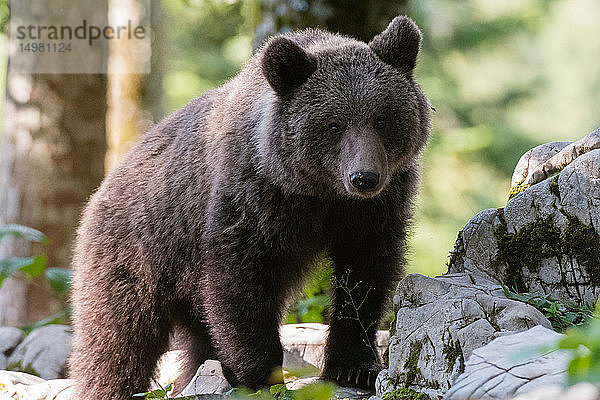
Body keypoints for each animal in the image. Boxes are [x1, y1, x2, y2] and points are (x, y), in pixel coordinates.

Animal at [68, 14, 428, 396]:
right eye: (334, 124)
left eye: (382, 118)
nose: (364, 177)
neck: (319, 192)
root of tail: (100, 190)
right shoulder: (254, 197)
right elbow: (242, 281)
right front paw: (258, 373)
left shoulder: (373, 209)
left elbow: (365, 275)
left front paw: (355, 367)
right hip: (138, 256)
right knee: (117, 342)